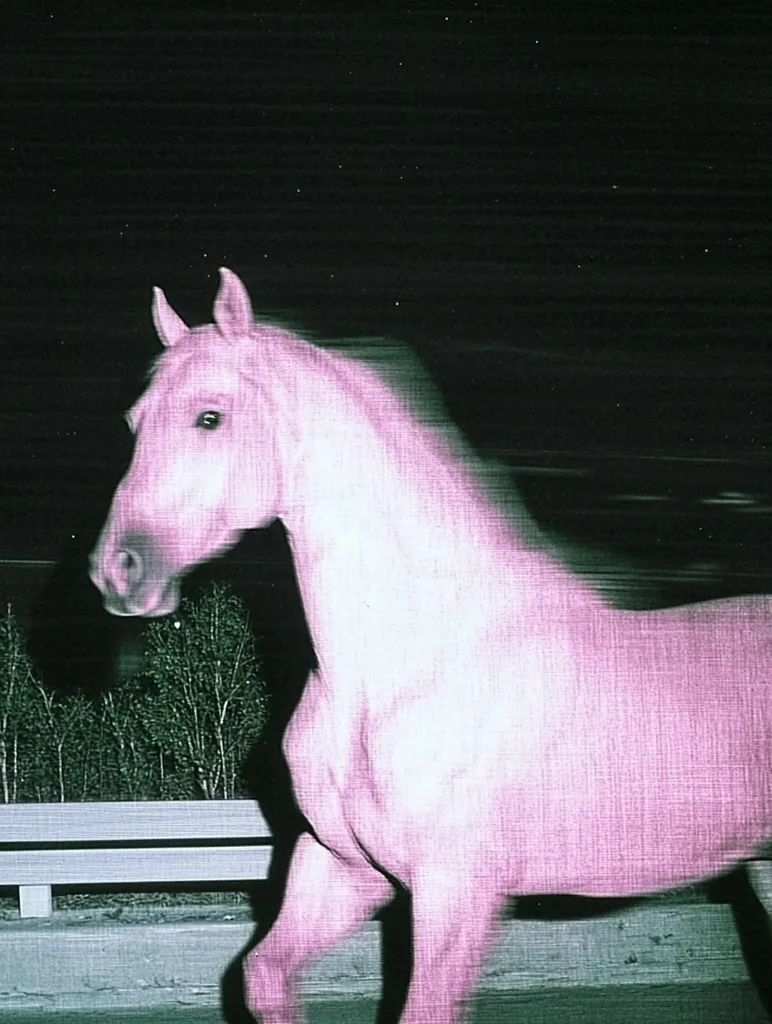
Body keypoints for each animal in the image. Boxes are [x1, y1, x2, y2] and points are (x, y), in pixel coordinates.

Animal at [90, 268, 772, 1023]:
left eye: (209, 417)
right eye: (133, 423)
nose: (117, 571)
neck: (400, 673)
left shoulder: (457, 894)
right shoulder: (342, 868)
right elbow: (264, 974)